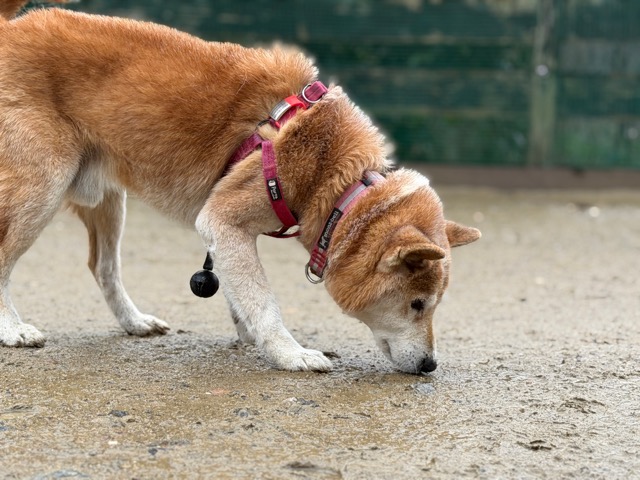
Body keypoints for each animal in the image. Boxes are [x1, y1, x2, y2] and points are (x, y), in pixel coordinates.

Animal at [0, 1, 480, 374]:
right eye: (418, 304)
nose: (431, 366)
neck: (334, 178)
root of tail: (11, 27)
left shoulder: (226, 235)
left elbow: (240, 292)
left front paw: (249, 333)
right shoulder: (223, 220)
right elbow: (264, 302)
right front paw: (289, 353)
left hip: (108, 201)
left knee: (104, 268)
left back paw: (134, 322)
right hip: (43, 188)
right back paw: (12, 329)